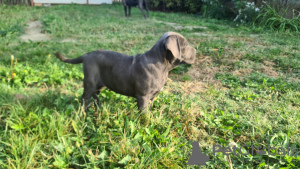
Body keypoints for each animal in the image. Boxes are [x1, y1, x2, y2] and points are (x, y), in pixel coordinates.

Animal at [55, 32, 197, 111]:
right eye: (185, 46)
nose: (196, 50)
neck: (162, 65)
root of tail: (86, 55)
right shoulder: (143, 97)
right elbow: (145, 114)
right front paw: (146, 125)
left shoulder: (152, 97)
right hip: (90, 81)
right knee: (85, 97)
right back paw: (84, 112)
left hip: (101, 83)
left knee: (94, 94)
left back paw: (99, 106)